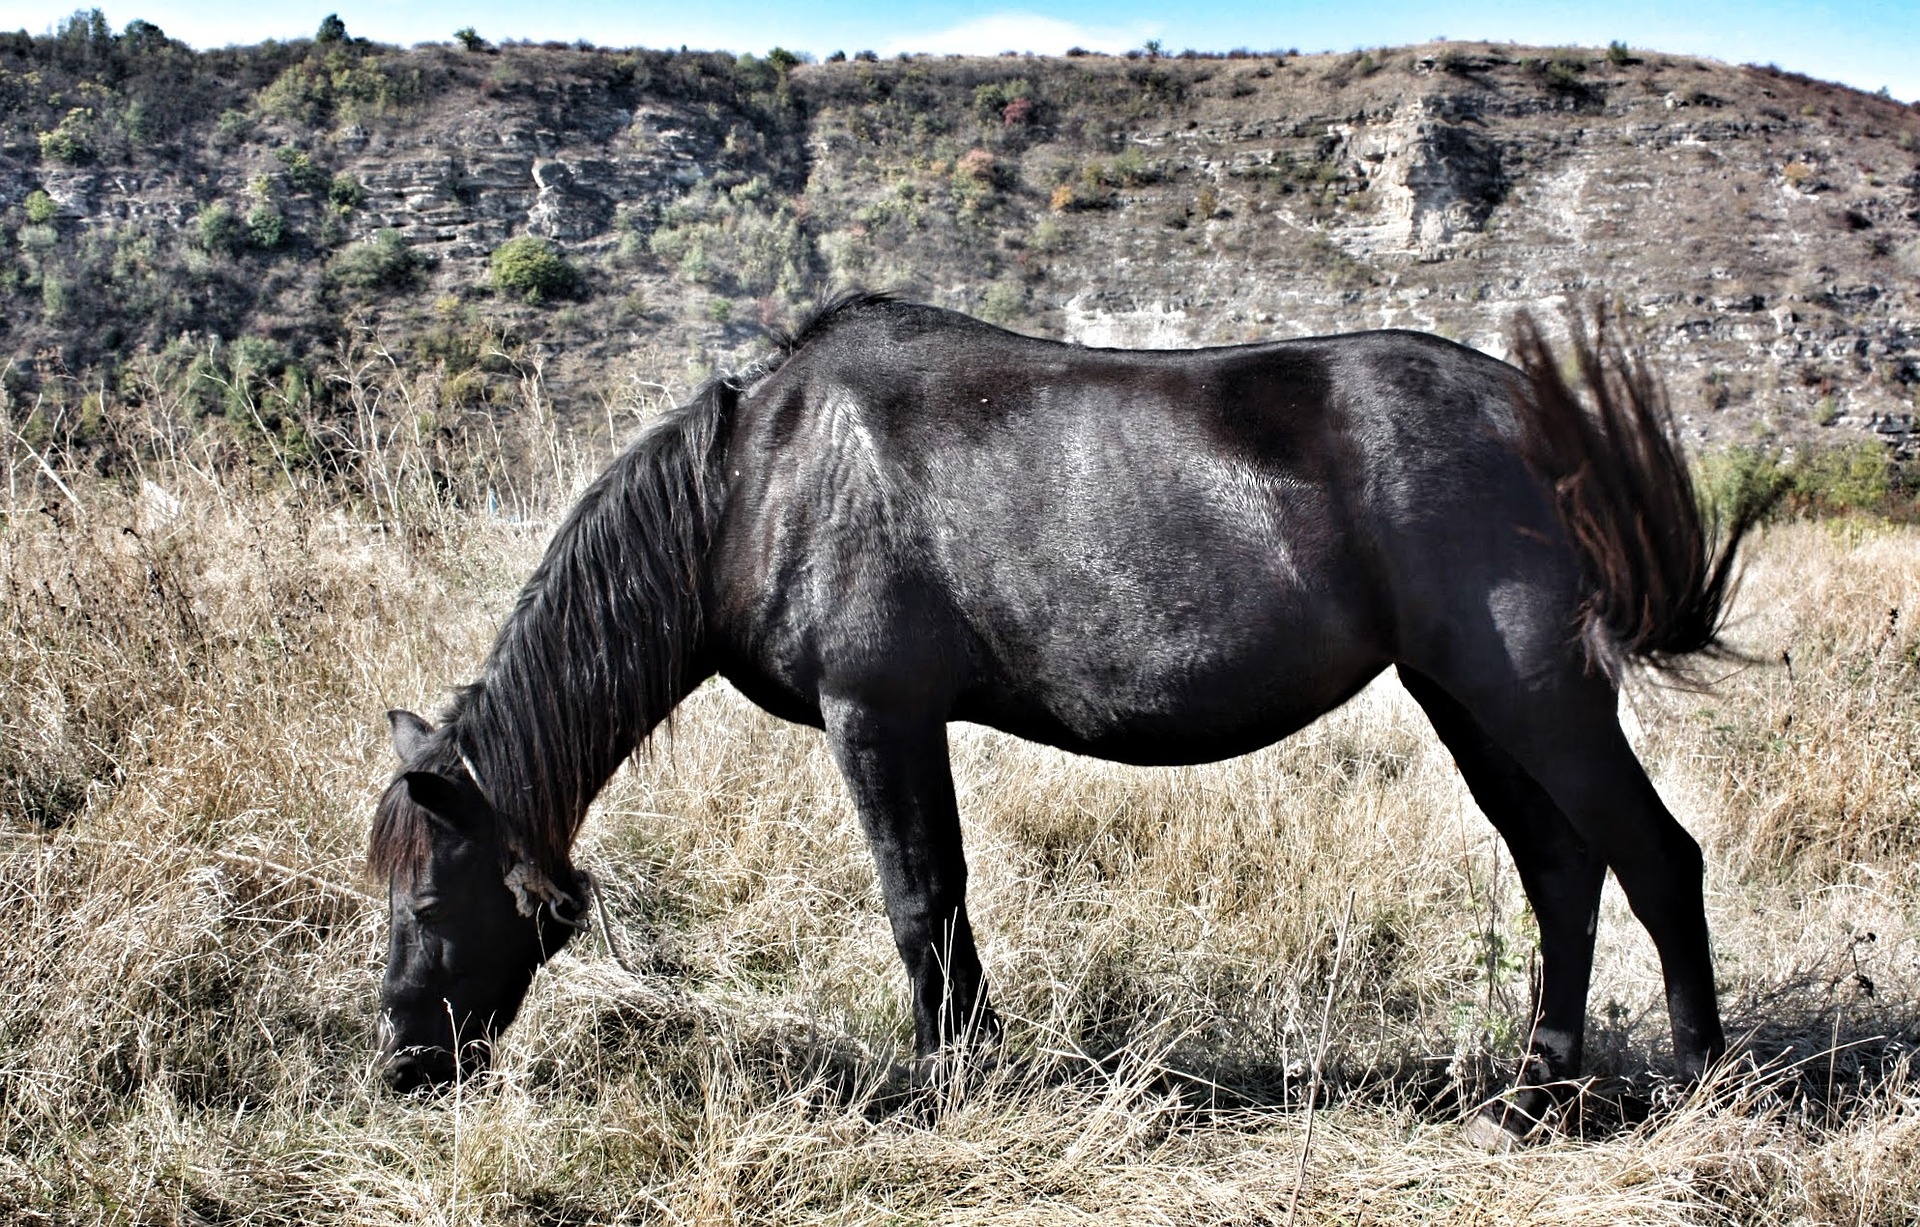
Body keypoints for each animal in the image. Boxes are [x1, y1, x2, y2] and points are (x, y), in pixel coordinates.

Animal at [366, 291, 1758, 1144]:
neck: (753, 483)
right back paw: (1536, 1093)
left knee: (1655, 859)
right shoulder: (901, 724)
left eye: (430, 902)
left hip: (1535, 695)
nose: (402, 1068)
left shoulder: (876, 716)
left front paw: (938, 1083)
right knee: (1562, 868)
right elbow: (945, 902)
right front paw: (977, 1065)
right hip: (1470, 702)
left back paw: (1700, 1084)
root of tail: (1540, 412)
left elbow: (919, 900)